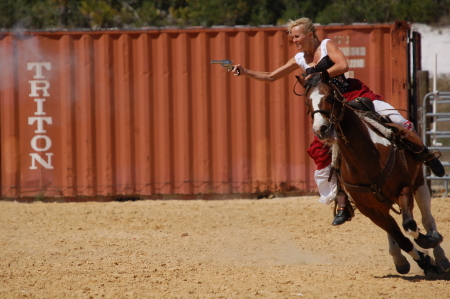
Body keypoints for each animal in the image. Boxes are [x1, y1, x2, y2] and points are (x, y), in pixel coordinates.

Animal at [298, 71, 448, 278]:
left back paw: (440, 256)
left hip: (419, 181)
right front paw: (424, 262)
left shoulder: (405, 189)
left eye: (329, 97)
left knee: (427, 219)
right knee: (395, 230)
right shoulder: (369, 210)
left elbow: (410, 226)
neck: (365, 157)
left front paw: (428, 244)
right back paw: (401, 259)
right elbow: (402, 238)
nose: (321, 129)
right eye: (307, 102)